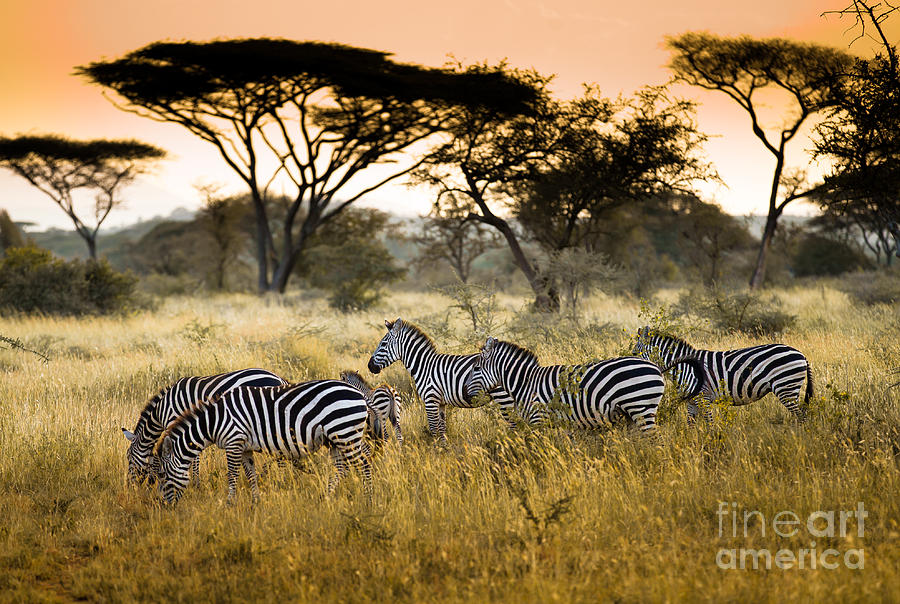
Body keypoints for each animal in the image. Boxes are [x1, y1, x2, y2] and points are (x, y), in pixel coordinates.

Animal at [121, 366, 286, 484]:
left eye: (129, 457)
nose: (129, 485)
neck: (162, 410)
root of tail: (279, 379)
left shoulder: (175, 422)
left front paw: (194, 482)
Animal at [156, 382, 374, 504]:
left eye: (162, 475)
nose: (164, 506)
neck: (214, 420)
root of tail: (359, 393)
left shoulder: (234, 441)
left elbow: (232, 475)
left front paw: (229, 503)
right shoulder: (244, 447)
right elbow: (251, 475)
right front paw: (256, 502)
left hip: (345, 432)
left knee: (364, 465)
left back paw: (368, 500)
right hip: (335, 439)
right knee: (341, 468)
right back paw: (325, 498)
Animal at [366, 318, 512, 442]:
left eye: (383, 344)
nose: (369, 366)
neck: (424, 366)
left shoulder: (430, 400)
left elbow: (433, 429)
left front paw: (436, 451)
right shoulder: (441, 403)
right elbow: (442, 429)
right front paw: (444, 450)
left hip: (504, 397)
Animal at [464, 336, 712, 434]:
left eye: (475, 368)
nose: (466, 395)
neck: (526, 383)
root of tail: (656, 367)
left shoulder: (538, 420)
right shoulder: (562, 424)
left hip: (640, 406)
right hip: (635, 412)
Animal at [628, 328, 812, 422]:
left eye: (635, 352)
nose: (633, 367)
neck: (684, 367)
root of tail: (801, 354)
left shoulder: (704, 398)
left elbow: (709, 424)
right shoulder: (691, 402)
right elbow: (690, 425)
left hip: (786, 387)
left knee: (801, 416)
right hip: (790, 388)